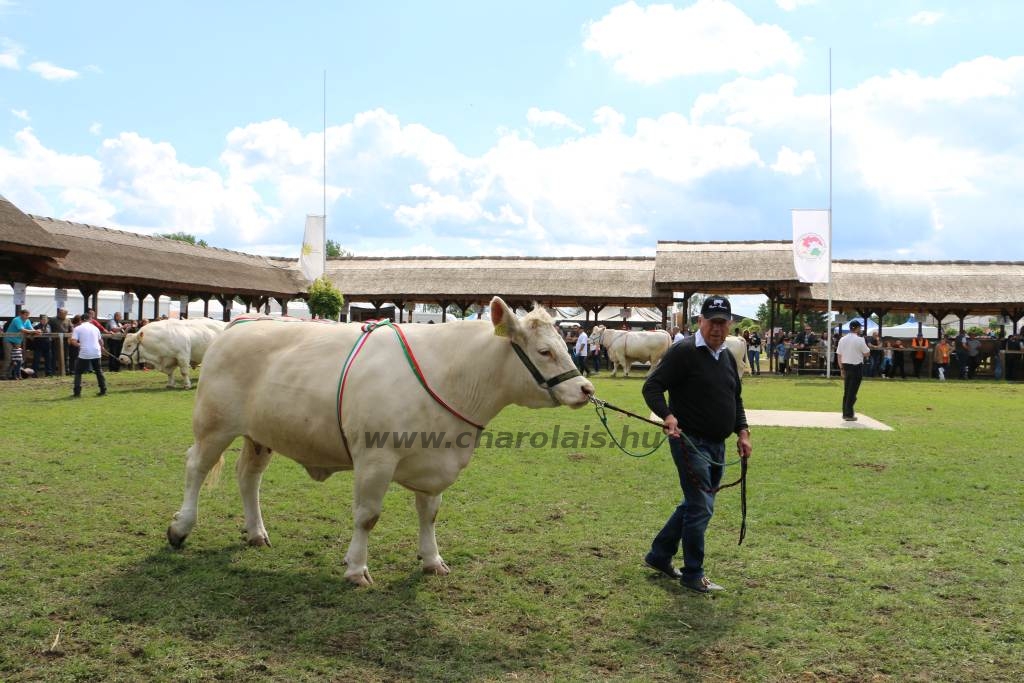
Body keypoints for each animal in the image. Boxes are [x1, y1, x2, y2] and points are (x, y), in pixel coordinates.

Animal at [164, 299, 598, 589]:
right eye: (544, 351)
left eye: (565, 345)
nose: (586, 389)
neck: (452, 376)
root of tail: (239, 324)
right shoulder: (375, 458)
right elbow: (367, 516)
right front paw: (357, 569)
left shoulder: (433, 461)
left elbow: (430, 515)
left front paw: (432, 560)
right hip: (213, 424)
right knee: (196, 467)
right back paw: (180, 528)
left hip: (259, 434)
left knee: (248, 477)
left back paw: (256, 532)